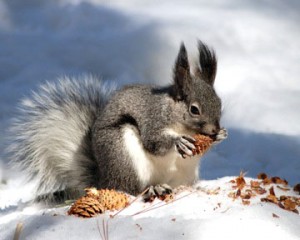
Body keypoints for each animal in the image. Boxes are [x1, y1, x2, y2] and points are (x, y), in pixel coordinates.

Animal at [7, 41, 227, 202]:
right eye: (194, 109)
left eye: (219, 102)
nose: (214, 129)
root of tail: (103, 181)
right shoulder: (152, 118)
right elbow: (153, 142)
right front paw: (178, 141)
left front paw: (221, 135)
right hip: (123, 155)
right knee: (130, 189)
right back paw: (152, 189)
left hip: (185, 174)